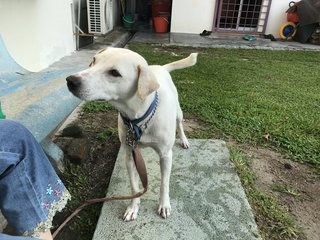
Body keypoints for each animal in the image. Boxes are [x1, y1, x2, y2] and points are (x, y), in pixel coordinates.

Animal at [67, 48, 198, 221]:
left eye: (114, 73)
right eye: (94, 61)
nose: (71, 80)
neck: (138, 118)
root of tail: (160, 67)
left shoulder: (166, 156)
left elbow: (164, 184)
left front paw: (164, 205)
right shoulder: (129, 155)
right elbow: (134, 186)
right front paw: (133, 207)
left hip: (178, 113)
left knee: (180, 124)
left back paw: (184, 140)